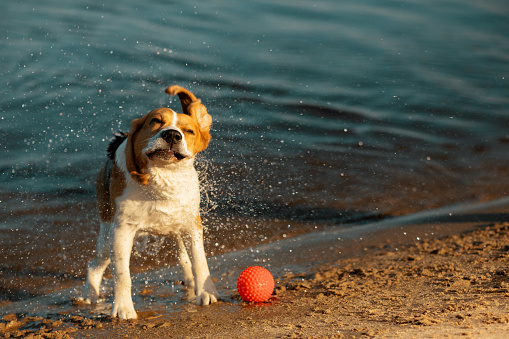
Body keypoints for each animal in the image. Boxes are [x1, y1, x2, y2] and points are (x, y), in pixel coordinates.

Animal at [81, 86, 218, 320]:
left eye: (188, 131)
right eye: (155, 121)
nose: (172, 135)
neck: (162, 178)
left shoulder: (192, 225)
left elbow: (200, 262)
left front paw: (206, 293)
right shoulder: (122, 230)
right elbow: (122, 275)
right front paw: (123, 308)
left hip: (176, 228)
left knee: (184, 257)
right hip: (107, 233)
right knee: (95, 265)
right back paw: (90, 296)